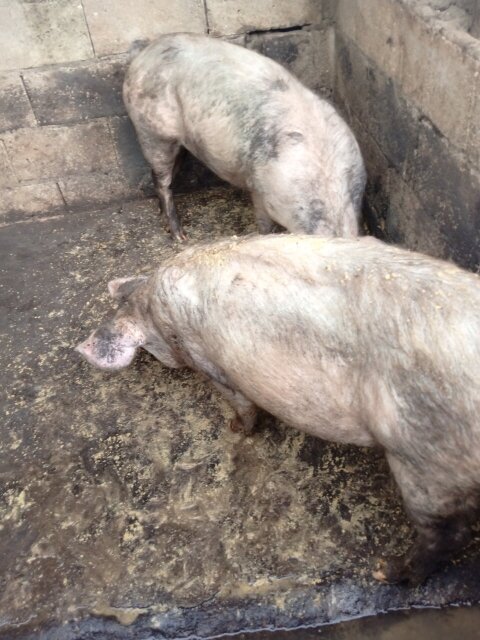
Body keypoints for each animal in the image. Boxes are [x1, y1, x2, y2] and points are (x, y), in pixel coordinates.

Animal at [76, 234, 480, 585]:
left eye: (147, 344)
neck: (155, 309)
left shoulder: (210, 362)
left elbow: (240, 402)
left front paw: (235, 428)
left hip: (424, 461)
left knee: (449, 534)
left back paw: (386, 571)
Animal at [123, 33, 366, 241]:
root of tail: (143, 54)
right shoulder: (260, 189)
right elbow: (264, 224)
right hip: (151, 131)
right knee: (161, 180)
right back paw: (180, 237)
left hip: (177, 142)